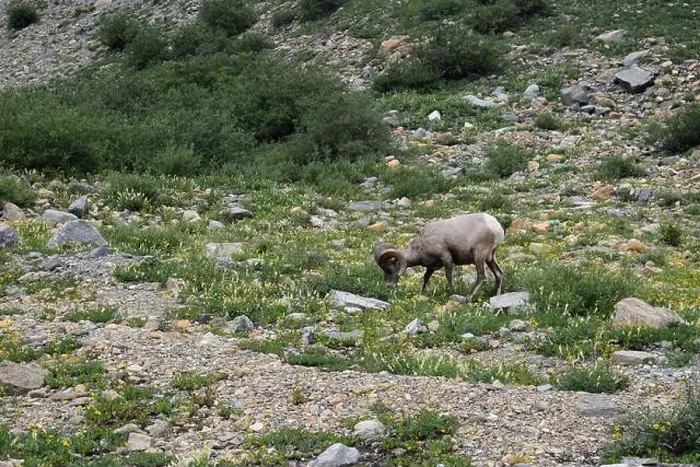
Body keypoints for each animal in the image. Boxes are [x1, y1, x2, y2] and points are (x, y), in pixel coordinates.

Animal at [374, 212, 505, 300]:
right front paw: (423, 293)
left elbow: (449, 276)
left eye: (389, 269)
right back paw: (496, 296)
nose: (389, 286)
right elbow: (426, 277)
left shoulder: (446, 258)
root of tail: (496, 226)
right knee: (498, 273)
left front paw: (451, 291)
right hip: (490, 258)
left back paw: (468, 297)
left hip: (479, 257)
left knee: (481, 276)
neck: (422, 244)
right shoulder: (431, 266)